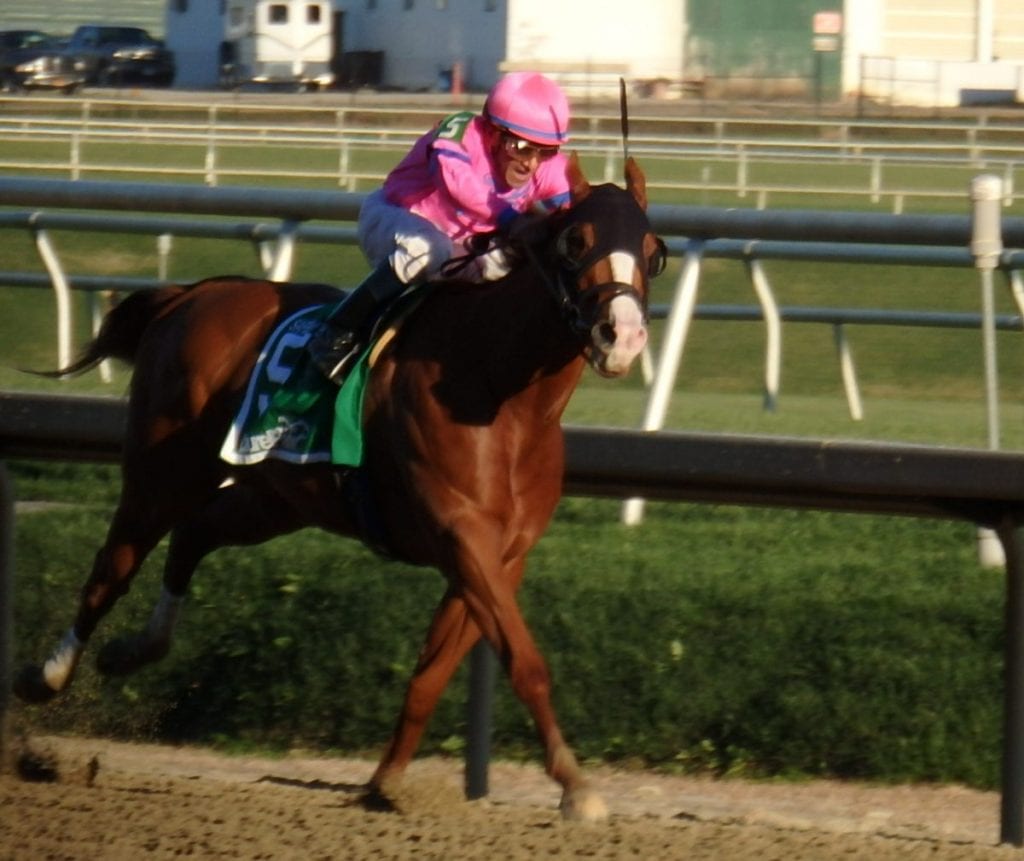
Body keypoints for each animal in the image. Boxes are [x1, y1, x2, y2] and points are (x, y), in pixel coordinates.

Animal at [18, 154, 671, 819]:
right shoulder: (463, 536)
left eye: (653, 250)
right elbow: (524, 661)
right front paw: (575, 785)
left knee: (196, 534)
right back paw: (46, 675)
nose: (621, 336)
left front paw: (386, 779)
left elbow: (433, 671)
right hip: (162, 472)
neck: (499, 389)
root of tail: (192, 293)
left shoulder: (502, 556)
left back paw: (135, 650)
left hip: (274, 498)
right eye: (576, 241)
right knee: (112, 568)